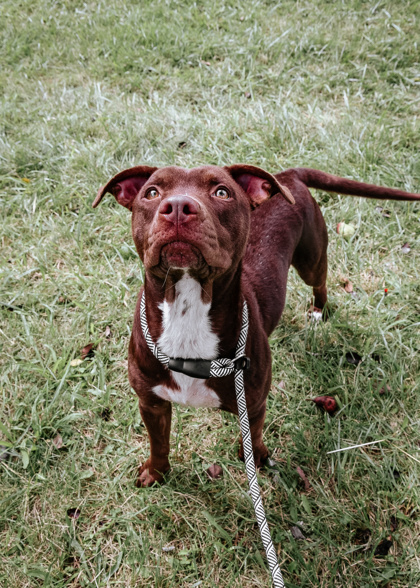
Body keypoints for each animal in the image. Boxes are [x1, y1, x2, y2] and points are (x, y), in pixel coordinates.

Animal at [93, 164, 419, 487]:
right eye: (151, 192)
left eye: (221, 192)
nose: (176, 208)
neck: (188, 308)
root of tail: (288, 176)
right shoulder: (151, 403)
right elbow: (158, 442)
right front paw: (156, 473)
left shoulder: (252, 404)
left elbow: (254, 437)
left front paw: (258, 459)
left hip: (311, 260)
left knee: (321, 280)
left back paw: (319, 311)